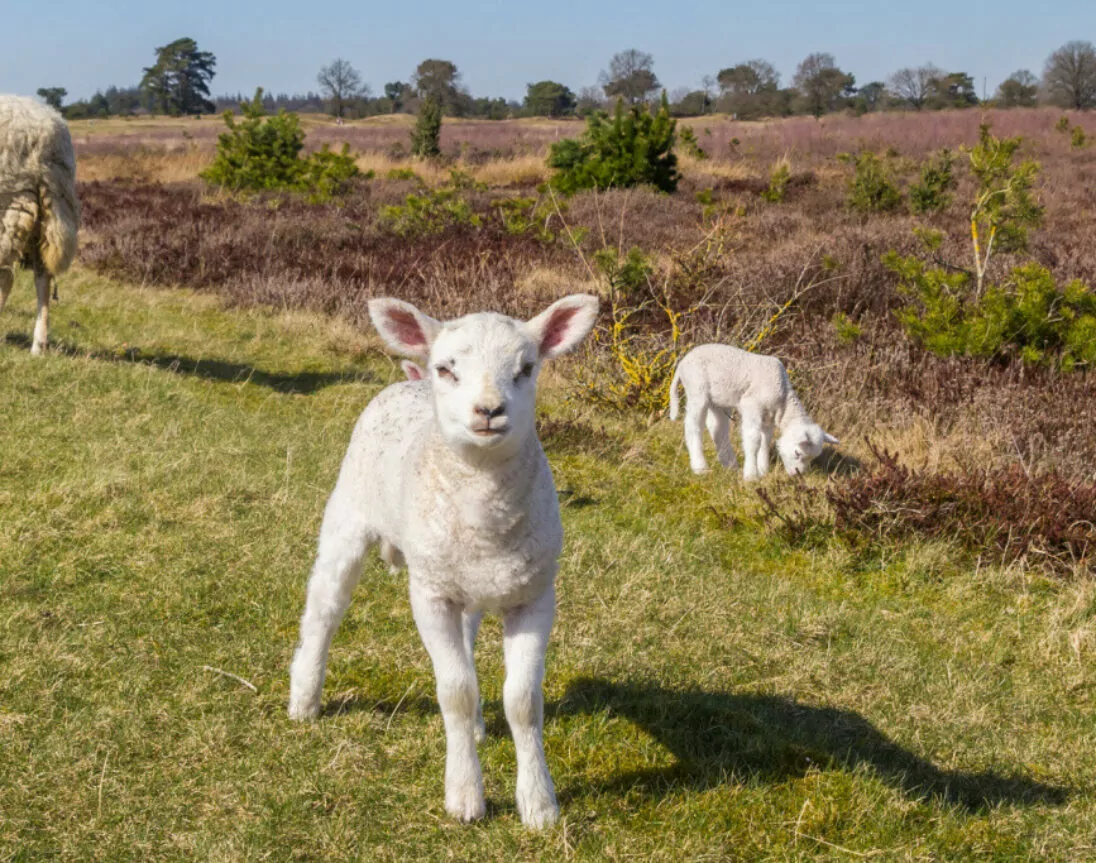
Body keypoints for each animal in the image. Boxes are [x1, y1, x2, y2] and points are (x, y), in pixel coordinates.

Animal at [289, 291, 600, 829]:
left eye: (527, 368)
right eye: (446, 369)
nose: (490, 410)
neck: (486, 510)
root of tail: (405, 383)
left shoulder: (536, 596)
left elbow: (523, 701)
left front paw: (539, 804)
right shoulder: (431, 594)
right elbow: (454, 691)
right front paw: (465, 797)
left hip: (466, 580)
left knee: (469, 645)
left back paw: (473, 729)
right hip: (347, 519)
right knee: (324, 612)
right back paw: (305, 699)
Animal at [666, 342, 837, 480]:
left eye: (811, 458)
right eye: (797, 453)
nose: (797, 475)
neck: (783, 398)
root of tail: (682, 363)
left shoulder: (768, 417)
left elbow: (765, 441)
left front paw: (763, 470)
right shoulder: (752, 405)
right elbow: (753, 440)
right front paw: (751, 476)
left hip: (719, 399)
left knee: (717, 428)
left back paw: (730, 465)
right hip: (697, 388)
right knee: (693, 426)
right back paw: (700, 468)